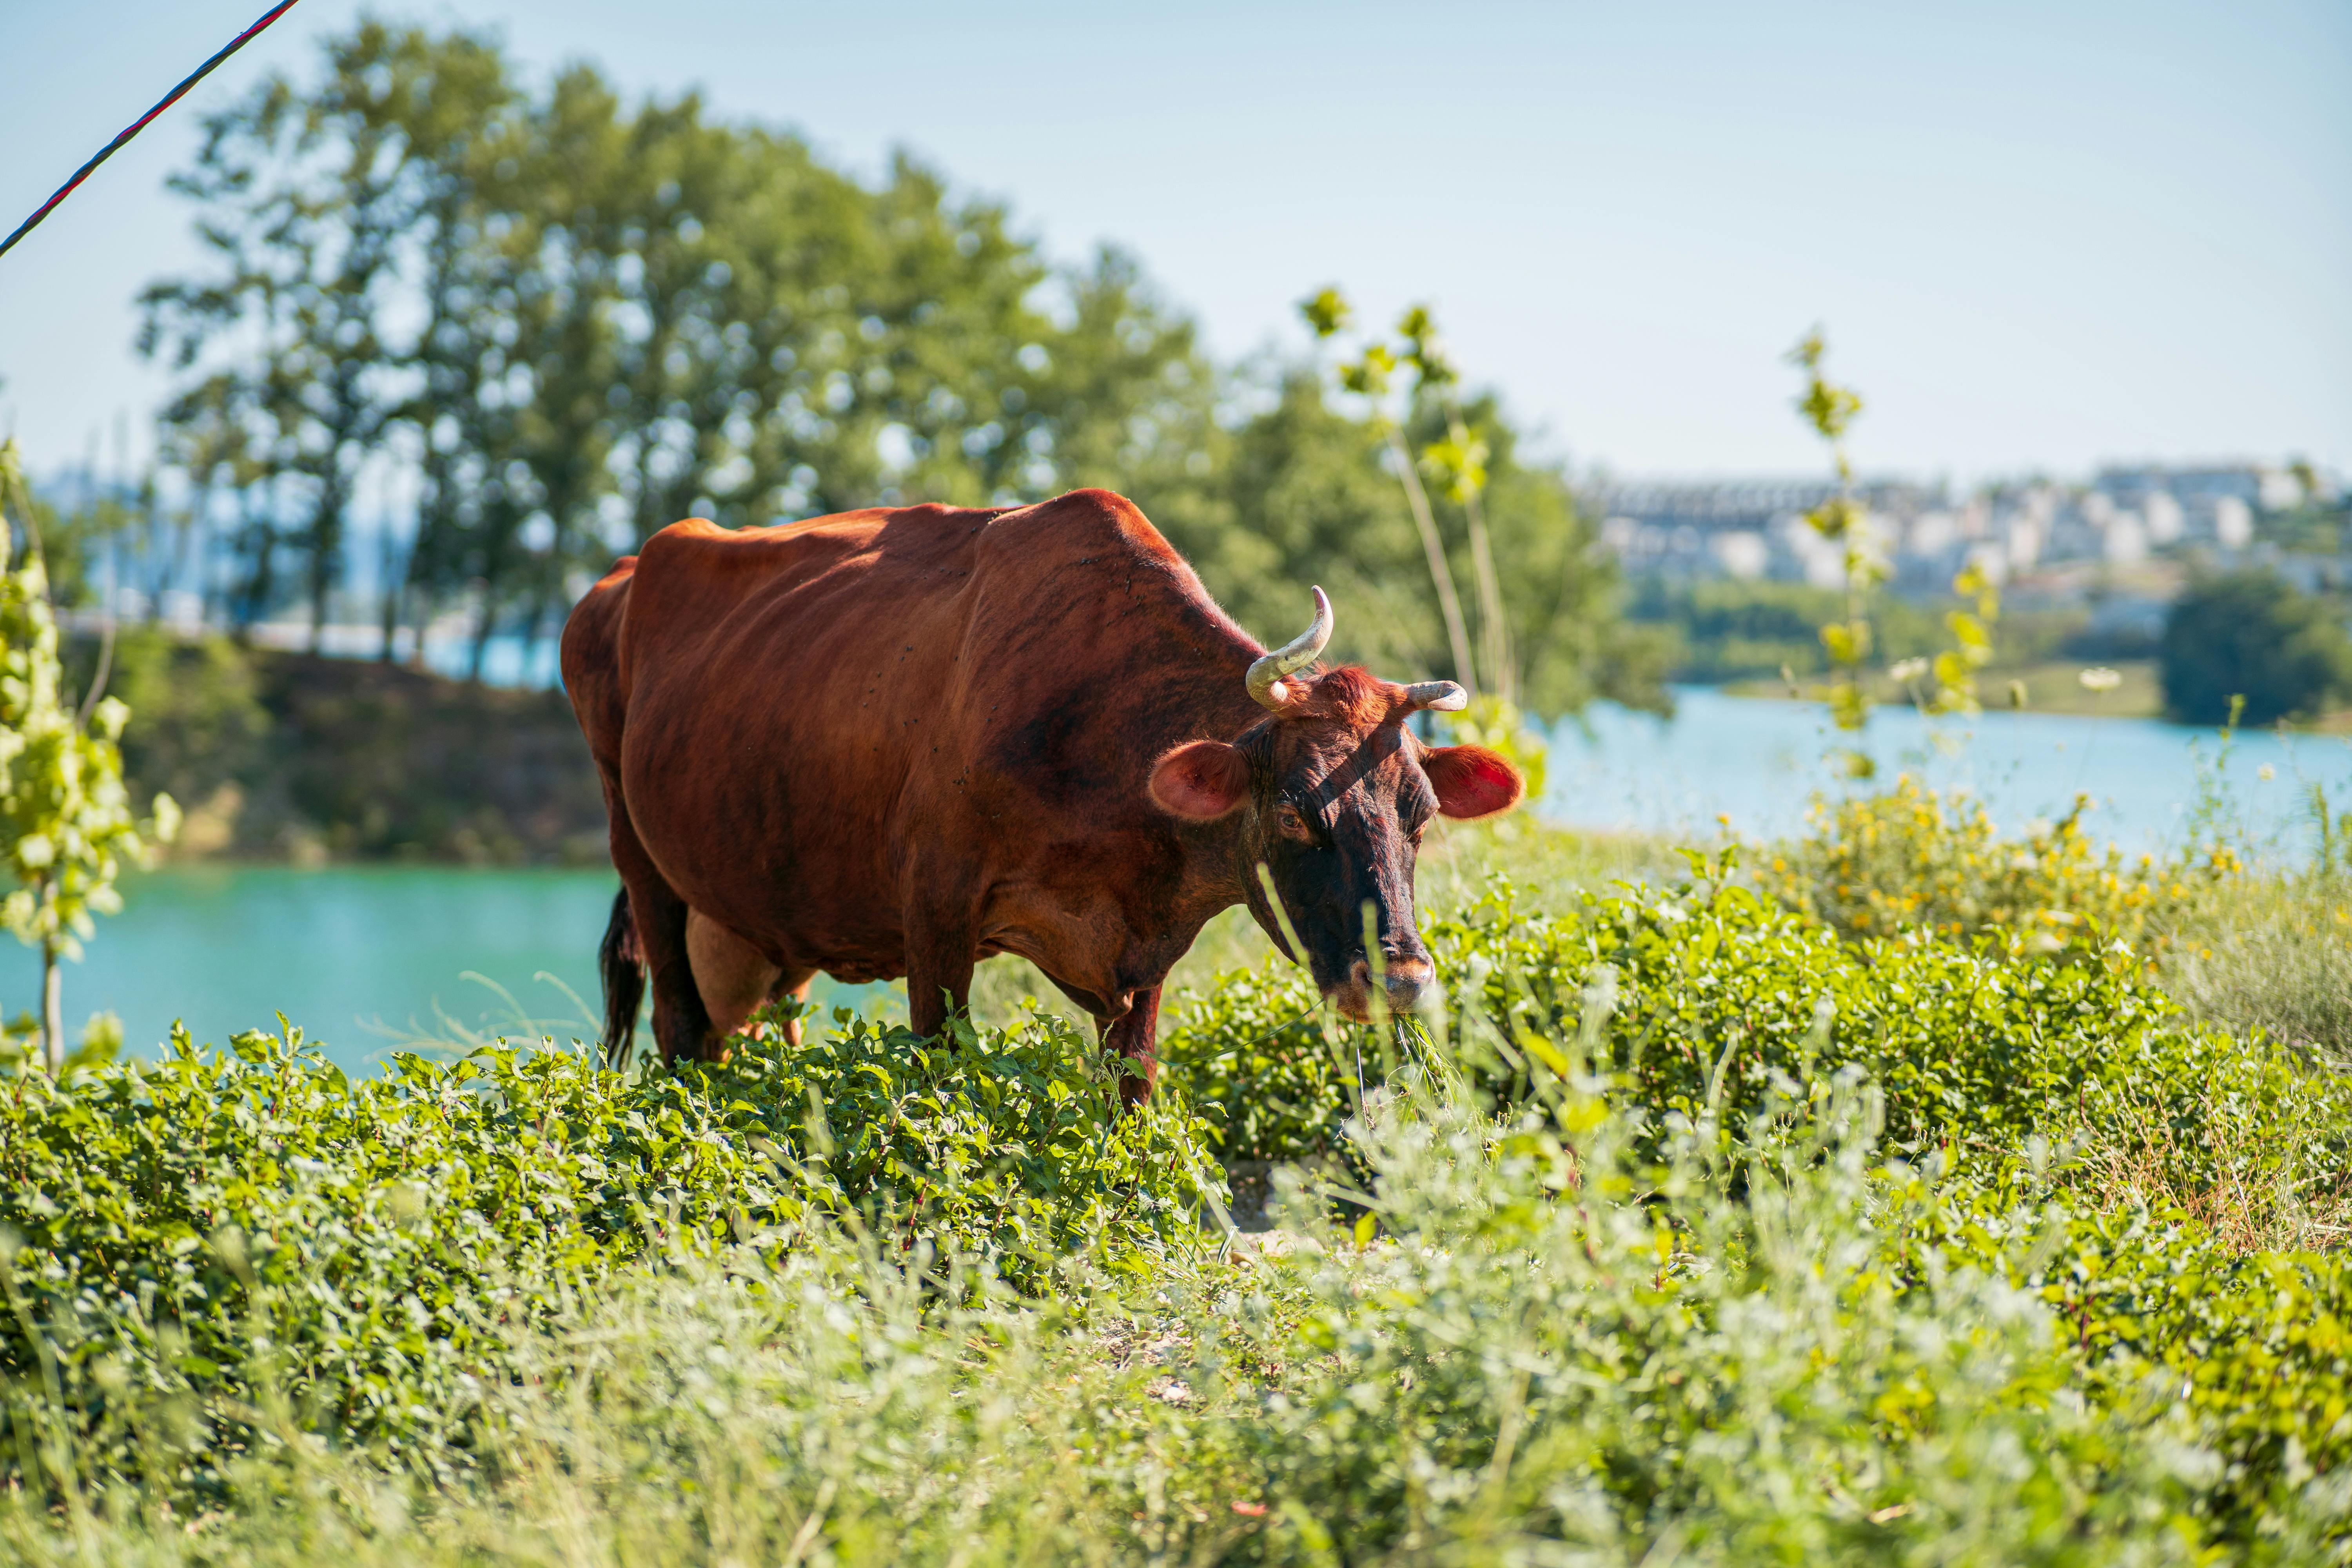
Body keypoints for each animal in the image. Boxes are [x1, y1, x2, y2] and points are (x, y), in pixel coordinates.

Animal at [557, 491, 1515, 1105]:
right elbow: (940, 1076)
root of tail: (624, 572)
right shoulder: (934, 909)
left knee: (755, 1026)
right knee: (682, 1028)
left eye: (1421, 816)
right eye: (1292, 813)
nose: (1399, 977)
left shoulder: (1148, 949)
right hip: (637, 850)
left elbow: (1133, 1090)